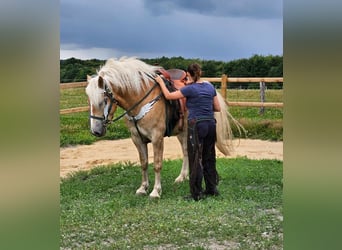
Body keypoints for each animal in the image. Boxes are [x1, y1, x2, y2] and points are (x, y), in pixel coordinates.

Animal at [85, 56, 238, 197]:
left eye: (104, 99)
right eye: (89, 100)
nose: (96, 131)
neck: (141, 99)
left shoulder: (157, 137)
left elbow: (157, 164)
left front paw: (155, 191)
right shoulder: (137, 138)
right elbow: (144, 163)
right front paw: (143, 188)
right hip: (183, 132)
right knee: (186, 151)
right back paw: (182, 177)